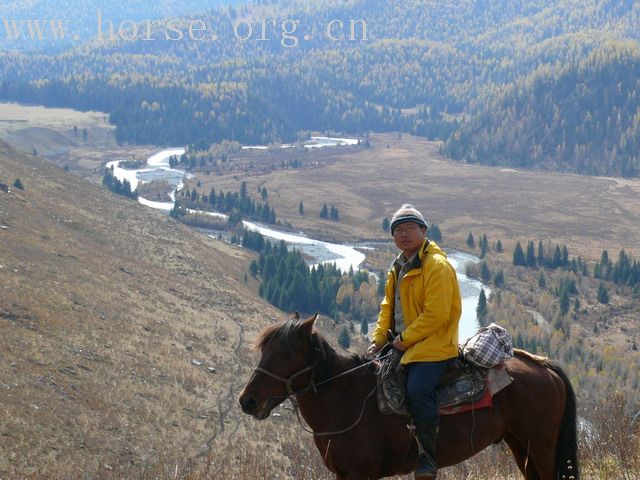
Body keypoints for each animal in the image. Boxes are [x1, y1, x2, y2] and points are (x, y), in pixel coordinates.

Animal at [240, 316, 580, 480]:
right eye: (264, 350)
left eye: (285, 355)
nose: (248, 401)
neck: (345, 400)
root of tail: (542, 365)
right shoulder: (343, 473)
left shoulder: (360, 473)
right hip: (520, 444)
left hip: (541, 445)